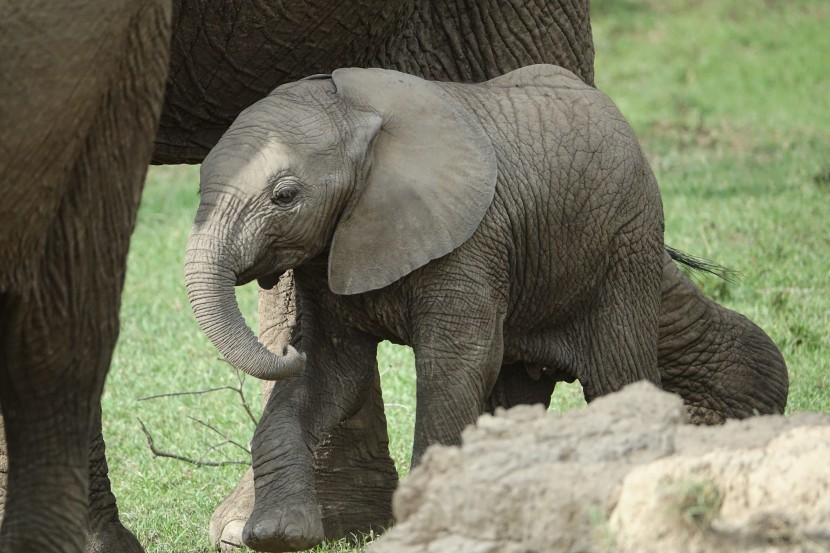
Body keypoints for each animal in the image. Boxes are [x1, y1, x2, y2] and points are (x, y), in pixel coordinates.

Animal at [185, 63, 668, 548]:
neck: (356, 116)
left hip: (625, 249)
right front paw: (275, 535)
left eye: (284, 196)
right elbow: (330, 371)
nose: (286, 346)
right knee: (516, 391)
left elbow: (455, 364)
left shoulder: (472, 241)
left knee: (617, 374)